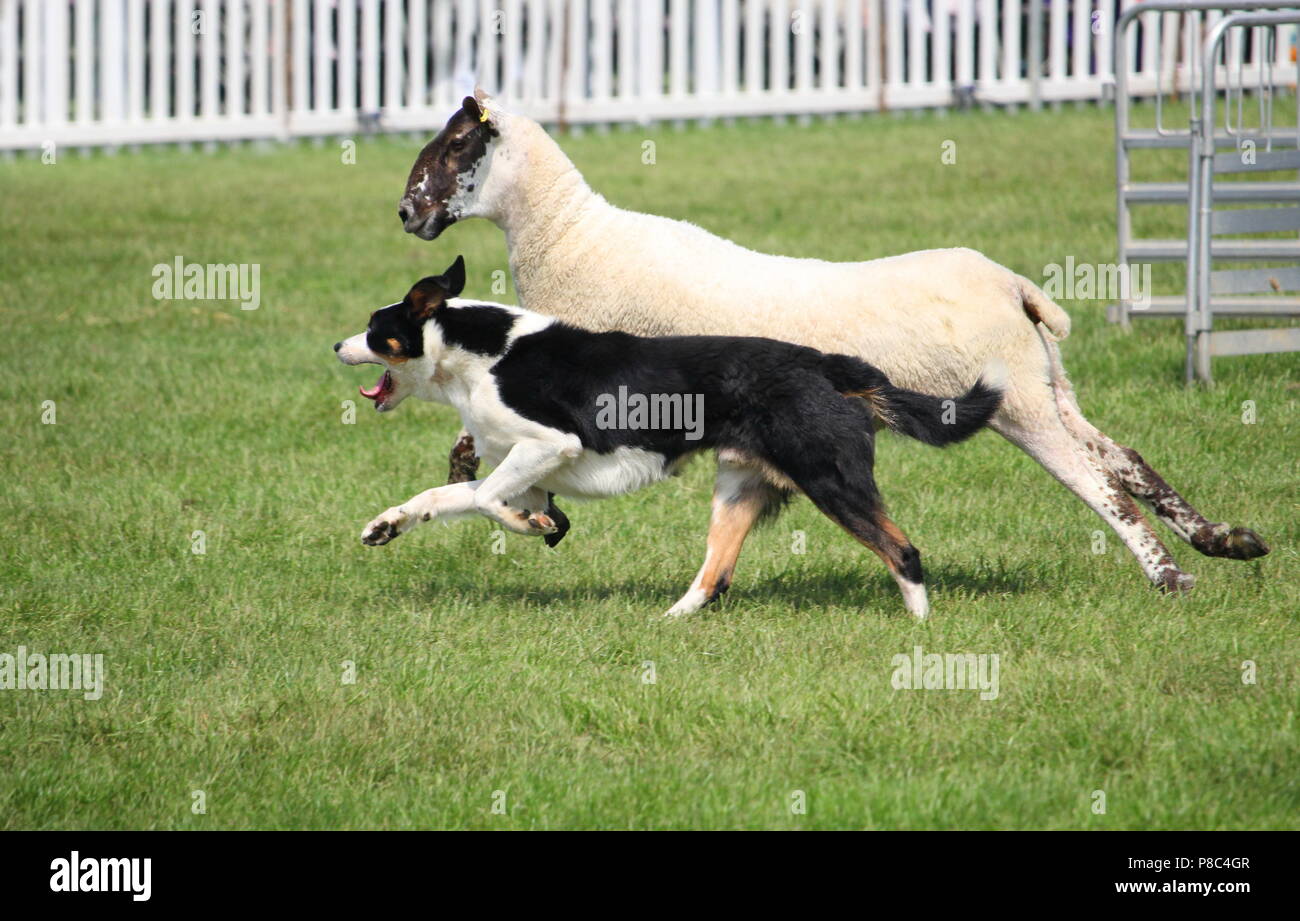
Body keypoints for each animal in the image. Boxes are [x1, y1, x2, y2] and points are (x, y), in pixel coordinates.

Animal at [335, 257, 1003, 619]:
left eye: (373, 327)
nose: (336, 345)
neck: (477, 357)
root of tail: (829, 364)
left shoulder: (550, 445)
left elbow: (479, 498)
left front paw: (530, 527)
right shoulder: (530, 472)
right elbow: (449, 497)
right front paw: (385, 526)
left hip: (831, 481)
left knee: (903, 551)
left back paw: (919, 629)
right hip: (738, 488)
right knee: (716, 575)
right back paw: (670, 619)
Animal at [395, 95, 1268, 598]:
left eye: (456, 146)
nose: (407, 213)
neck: (573, 241)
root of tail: (1017, 286)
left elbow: (476, 452)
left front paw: (513, 510)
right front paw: (523, 515)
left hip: (1019, 400)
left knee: (1100, 485)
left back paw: (1171, 575)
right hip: (1049, 388)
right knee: (1127, 460)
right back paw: (1227, 541)